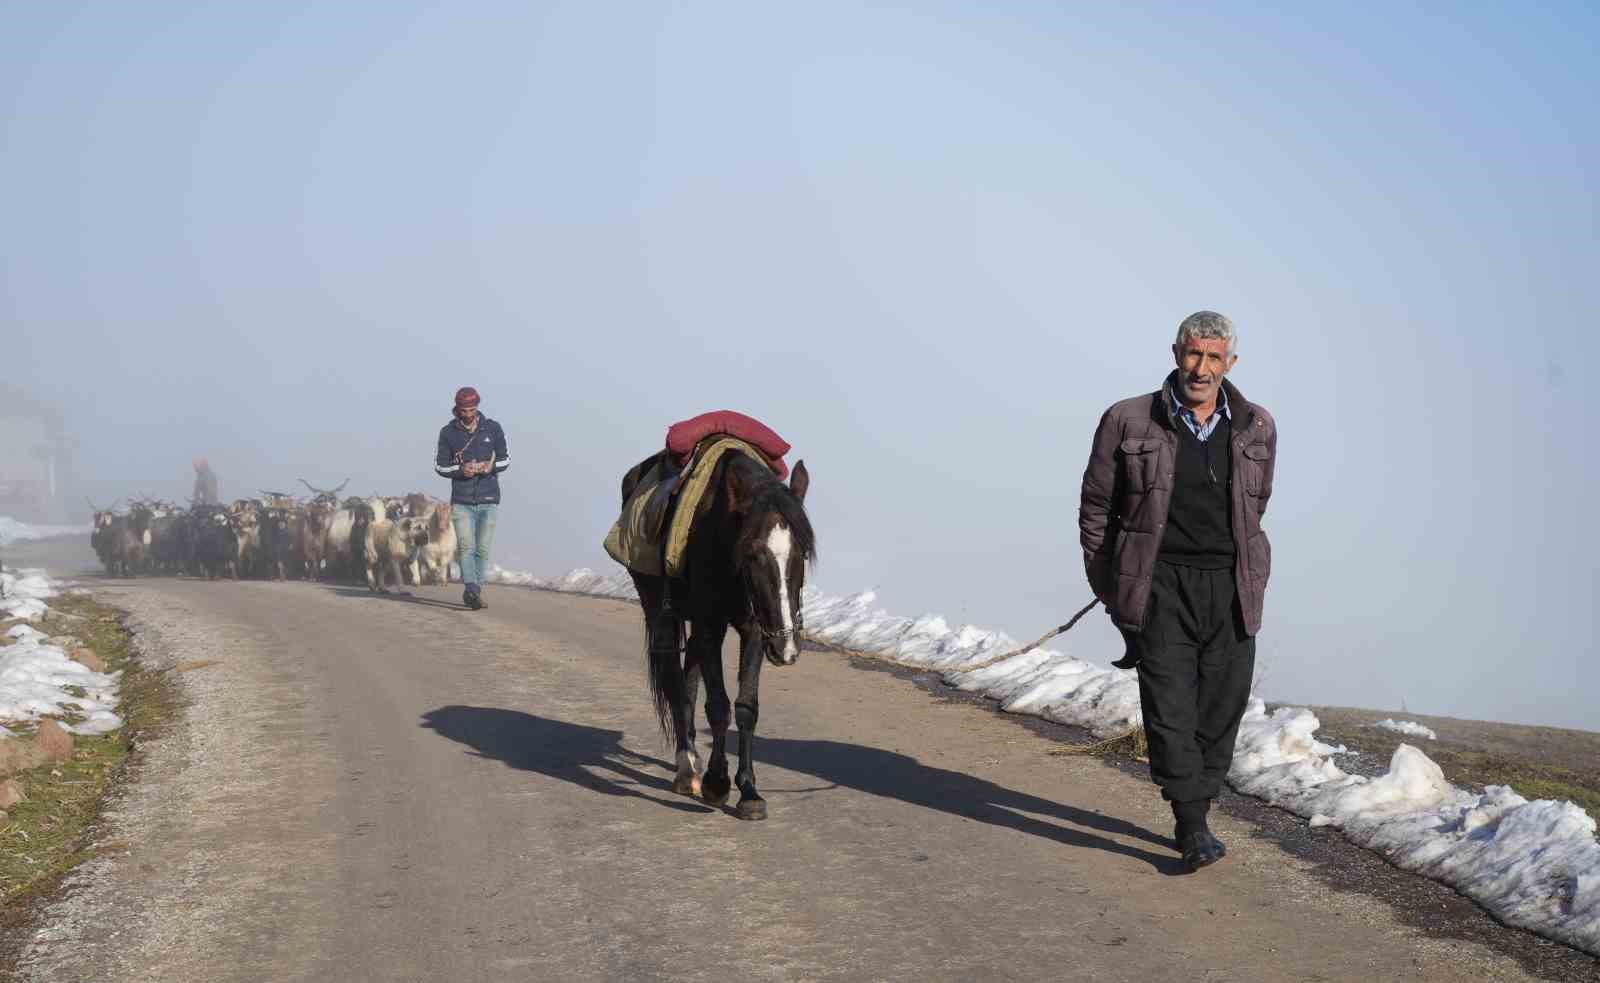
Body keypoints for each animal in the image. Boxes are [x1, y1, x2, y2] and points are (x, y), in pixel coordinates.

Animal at [620, 451, 819, 819]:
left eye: (801, 553)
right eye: (753, 553)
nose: (785, 647)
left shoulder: (754, 630)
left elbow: (746, 708)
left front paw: (749, 791)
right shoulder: (710, 624)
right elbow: (718, 706)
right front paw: (717, 783)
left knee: (689, 679)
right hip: (660, 614)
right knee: (674, 684)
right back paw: (687, 768)